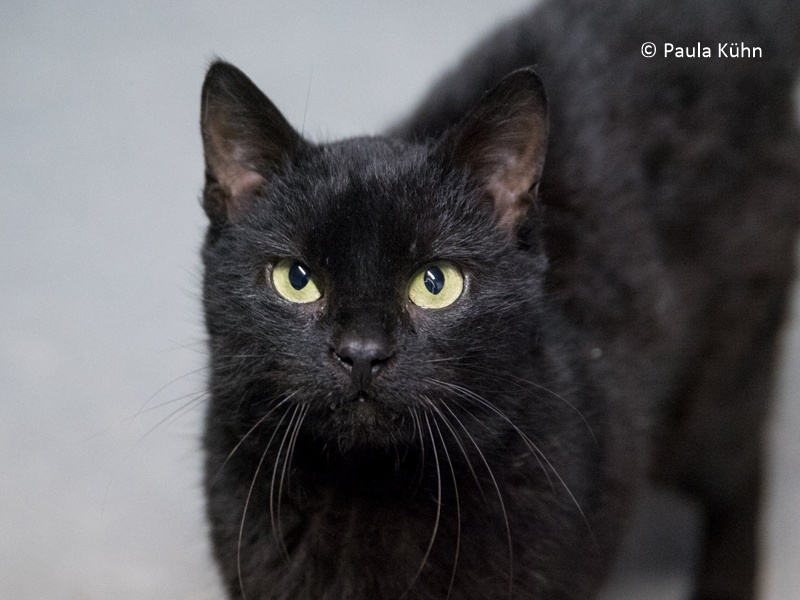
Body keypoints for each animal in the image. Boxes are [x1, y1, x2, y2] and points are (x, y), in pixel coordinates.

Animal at [198, 0, 800, 599]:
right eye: (296, 279)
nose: (362, 351)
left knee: (740, 478)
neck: (367, 489)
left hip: (714, 390)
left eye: (435, 283)